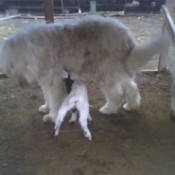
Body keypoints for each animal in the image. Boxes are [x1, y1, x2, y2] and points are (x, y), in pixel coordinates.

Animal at [0, 15, 170, 121]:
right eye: (12, 65)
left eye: (26, 63)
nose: (22, 83)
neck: (39, 48)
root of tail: (126, 34)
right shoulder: (45, 79)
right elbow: (47, 96)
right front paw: (46, 107)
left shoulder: (53, 80)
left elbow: (54, 98)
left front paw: (52, 115)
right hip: (117, 69)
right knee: (131, 86)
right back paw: (132, 105)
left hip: (106, 72)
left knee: (116, 93)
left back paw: (109, 109)